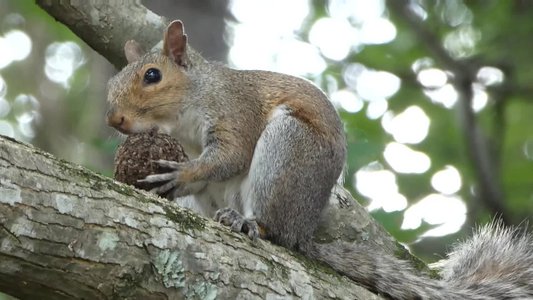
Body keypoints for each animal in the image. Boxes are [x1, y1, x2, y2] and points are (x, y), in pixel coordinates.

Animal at [105, 19, 532, 298]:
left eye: (153, 76)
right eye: (112, 83)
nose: (115, 119)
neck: (186, 112)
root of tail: (302, 232)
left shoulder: (235, 113)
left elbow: (231, 154)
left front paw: (181, 173)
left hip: (287, 149)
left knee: (272, 229)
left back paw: (250, 223)